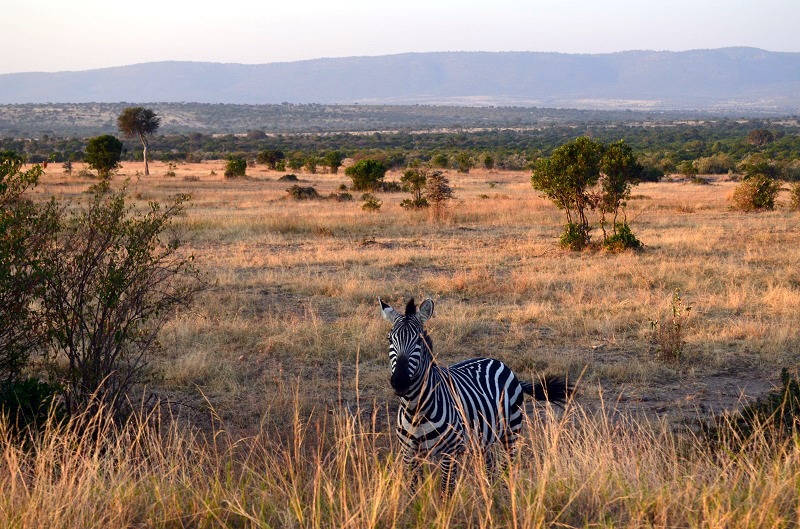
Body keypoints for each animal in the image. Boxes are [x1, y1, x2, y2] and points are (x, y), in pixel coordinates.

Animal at [380, 296, 568, 496]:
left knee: (507, 469)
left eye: (419, 340)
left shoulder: (449, 453)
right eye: (389, 339)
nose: (400, 382)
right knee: (490, 467)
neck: (415, 408)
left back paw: (504, 496)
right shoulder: (409, 454)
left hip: (511, 431)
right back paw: (490, 495)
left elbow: (446, 493)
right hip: (482, 439)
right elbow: (412, 493)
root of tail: (498, 362)